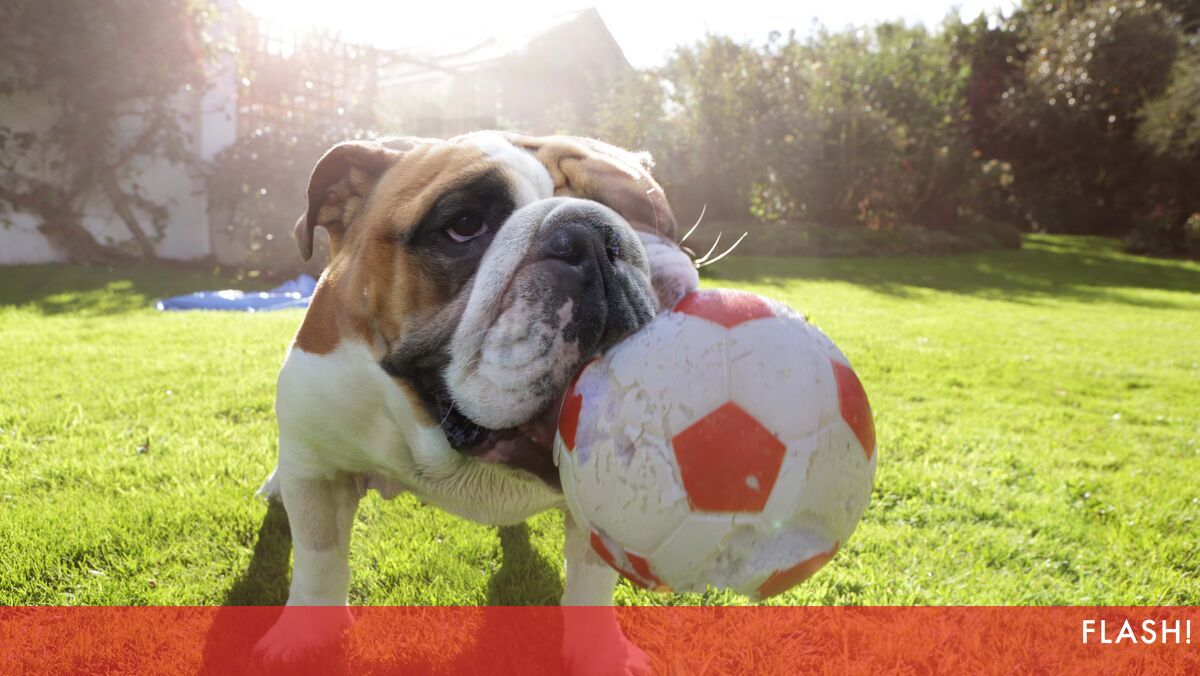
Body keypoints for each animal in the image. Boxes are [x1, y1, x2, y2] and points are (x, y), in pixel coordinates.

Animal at [253, 131, 699, 675]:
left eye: (654, 219)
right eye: (464, 225)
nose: (593, 235)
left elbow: (592, 582)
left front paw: (601, 654)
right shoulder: (321, 474)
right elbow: (319, 560)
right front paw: (304, 640)